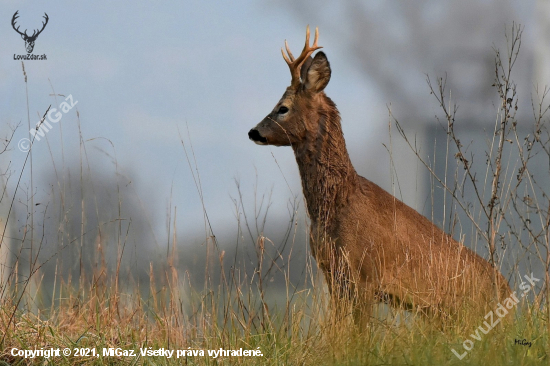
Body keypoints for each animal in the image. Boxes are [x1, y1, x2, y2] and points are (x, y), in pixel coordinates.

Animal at [250, 26, 512, 324]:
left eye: (283, 107)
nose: (253, 131)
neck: (337, 201)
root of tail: (511, 295)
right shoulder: (334, 275)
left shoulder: (365, 275)